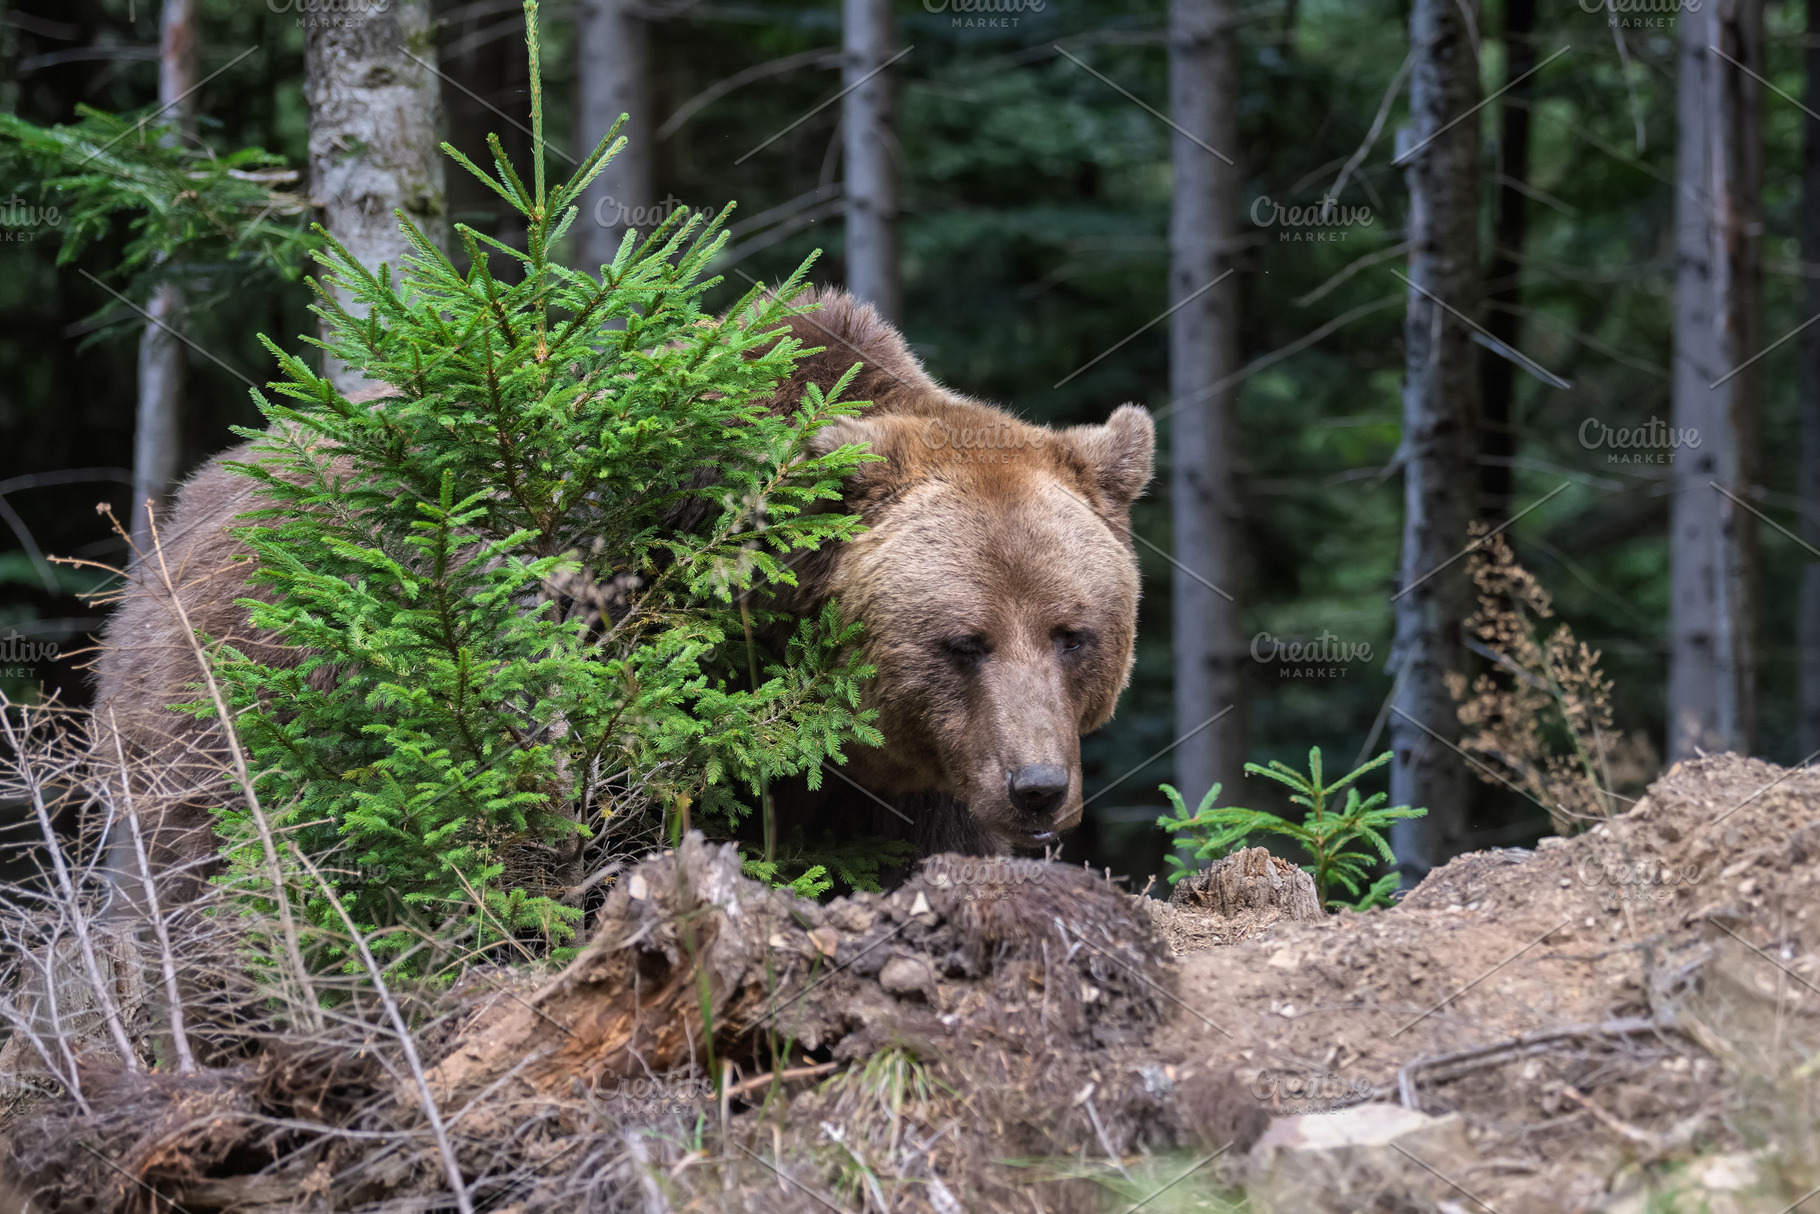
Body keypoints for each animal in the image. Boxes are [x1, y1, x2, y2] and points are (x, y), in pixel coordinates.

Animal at [89, 287, 1154, 899]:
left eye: (1072, 632)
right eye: (962, 640)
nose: (1037, 787)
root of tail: (190, 498)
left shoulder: (921, 782)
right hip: (232, 717)